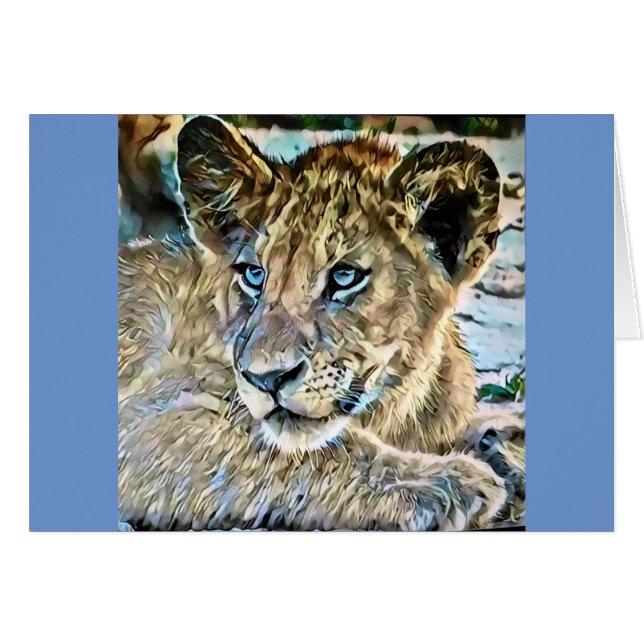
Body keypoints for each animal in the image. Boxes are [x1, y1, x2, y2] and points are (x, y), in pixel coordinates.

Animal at [118, 115, 520, 531]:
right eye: (254, 275)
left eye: (344, 276)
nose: (267, 379)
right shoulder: (143, 417)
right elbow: (309, 451)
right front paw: (450, 481)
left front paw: (502, 440)